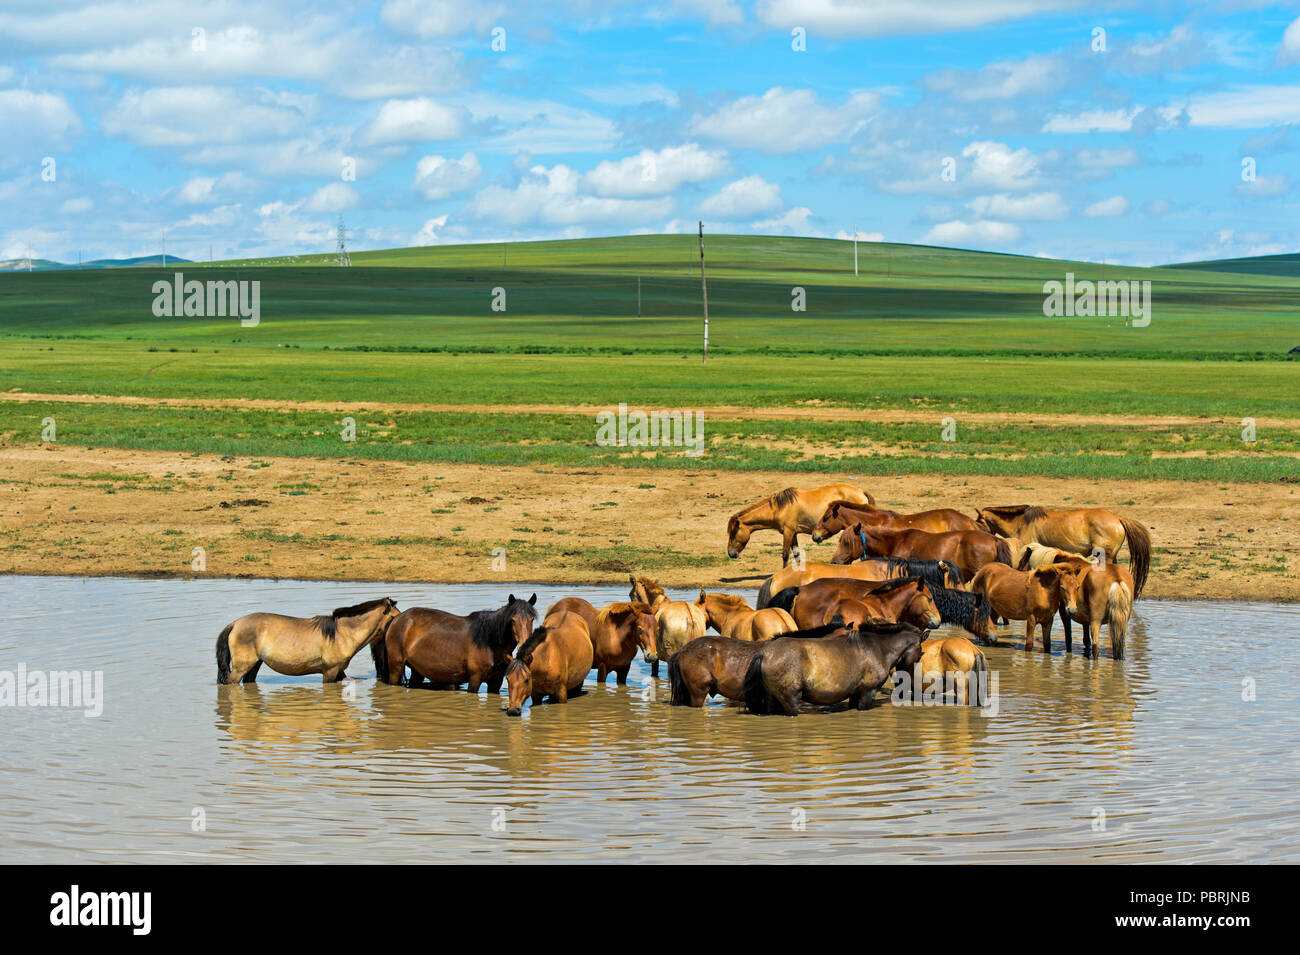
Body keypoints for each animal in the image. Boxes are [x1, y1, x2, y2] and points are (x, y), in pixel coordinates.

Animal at [216, 597, 399, 684]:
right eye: (396, 616)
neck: (342, 634)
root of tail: (234, 624)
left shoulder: (339, 670)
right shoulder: (330, 671)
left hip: (255, 664)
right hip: (241, 667)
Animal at [372, 593, 537, 692]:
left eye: (531, 619)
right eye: (513, 620)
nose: (524, 644)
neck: (489, 643)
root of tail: (396, 620)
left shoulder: (496, 681)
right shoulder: (475, 679)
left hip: (417, 671)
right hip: (396, 667)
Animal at [726, 483, 873, 567]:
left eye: (733, 533)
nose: (730, 554)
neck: (779, 508)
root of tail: (861, 491)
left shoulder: (788, 532)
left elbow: (785, 555)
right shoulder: (794, 533)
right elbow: (796, 554)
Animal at [742, 622, 927, 716]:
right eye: (921, 652)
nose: (903, 681)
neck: (878, 647)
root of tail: (765, 653)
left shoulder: (855, 694)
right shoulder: (868, 692)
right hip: (791, 700)